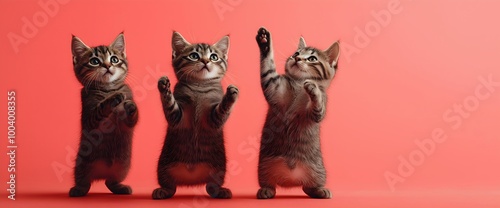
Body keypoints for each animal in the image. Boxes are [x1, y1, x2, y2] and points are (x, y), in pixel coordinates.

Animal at [69, 33, 139, 197]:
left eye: (114, 59)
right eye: (94, 61)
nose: (107, 66)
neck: (108, 89)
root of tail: (101, 173)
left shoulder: (128, 121)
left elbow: (132, 119)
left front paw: (131, 106)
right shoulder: (89, 119)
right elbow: (100, 109)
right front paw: (113, 99)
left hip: (123, 166)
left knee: (110, 182)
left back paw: (120, 188)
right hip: (81, 164)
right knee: (84, 182)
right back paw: (78, 190)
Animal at [152, 31, 238, 199]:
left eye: (214, 57)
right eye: (194, 56)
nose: (205, 61)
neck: (200, 87)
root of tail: (191, 179)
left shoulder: (214, 119)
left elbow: (222, 109)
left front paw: (231, 95)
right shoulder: (176, 116)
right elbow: (169, 103)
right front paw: (164, 87)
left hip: (219, 168)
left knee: (211, 187)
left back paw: (221, 191)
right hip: (163, 165)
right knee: (170, 186)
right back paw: (162, 191)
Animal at [254, 26, 340, 199]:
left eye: (312, 58)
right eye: (296, 53)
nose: (297, 58)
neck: (299, 83)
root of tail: (291, 180)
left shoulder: (317, 113)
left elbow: (317, 102)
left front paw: (313, 88)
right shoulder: (274, 87)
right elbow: (268, 68)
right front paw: (265, 42)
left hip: (318, 172)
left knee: (308, 187)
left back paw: (321, 191)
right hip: (263, 168)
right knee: (270, 184)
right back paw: (266, 190)